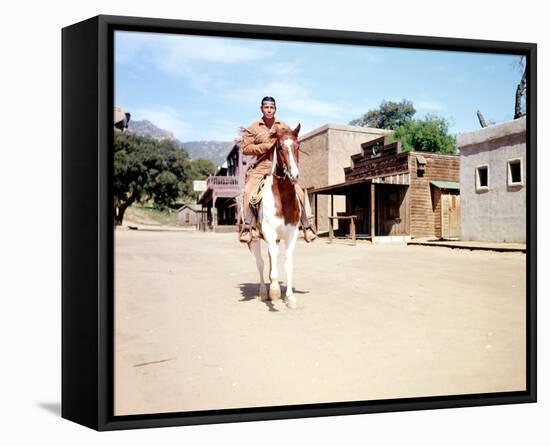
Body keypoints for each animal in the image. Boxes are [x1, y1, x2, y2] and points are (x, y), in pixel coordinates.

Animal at [251, 123, 304, 310]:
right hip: (253, 238)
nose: (294, 175)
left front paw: (290, 298)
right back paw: (263, 292)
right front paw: (274, 291)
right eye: (280, 147)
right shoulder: (269, 232)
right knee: (260, 263)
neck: (283, 201)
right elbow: (272, 261)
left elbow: (288, 264)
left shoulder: (291, 235)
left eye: (298, 146)